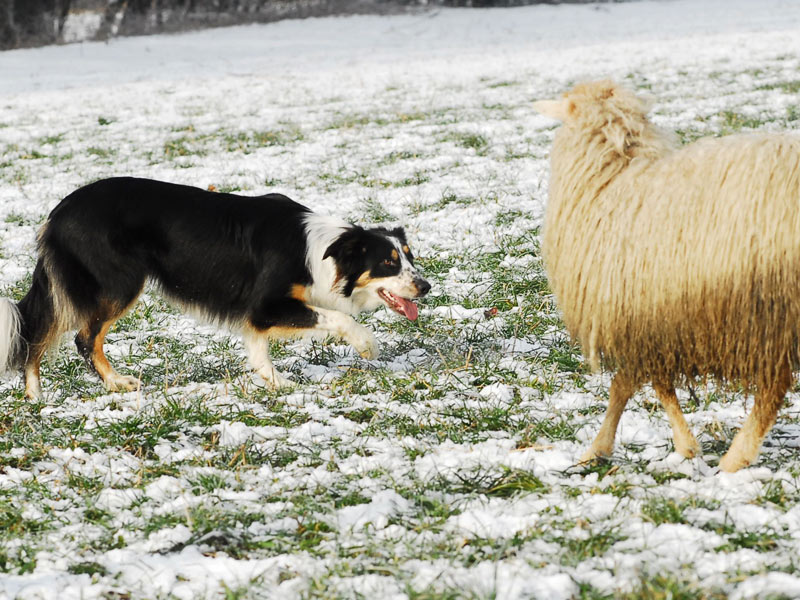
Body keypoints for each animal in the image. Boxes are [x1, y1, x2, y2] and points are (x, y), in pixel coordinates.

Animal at [0, 176, 428, 396]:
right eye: (388, 263)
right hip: (118, 283)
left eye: (409, 255)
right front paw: (367, 345)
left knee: (44, 333)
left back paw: (37, 394)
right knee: (78, 337)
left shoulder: (257, 315)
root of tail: (57, 213)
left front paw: (275, 382)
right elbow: (339, 318)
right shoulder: (266, 304)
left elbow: (258, 349)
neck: (320, 251)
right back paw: (105, 384)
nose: (425, 286)